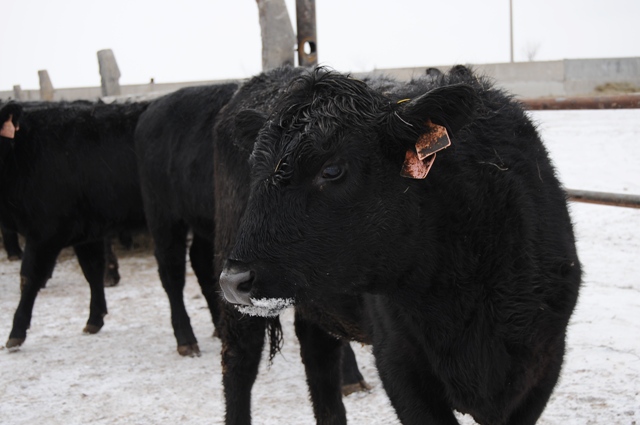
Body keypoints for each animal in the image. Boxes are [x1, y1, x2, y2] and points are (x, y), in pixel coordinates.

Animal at [0, 99, 148, 348]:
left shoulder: (45, 232)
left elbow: (28, 277)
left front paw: (16, 332)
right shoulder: (87, 232)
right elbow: (92, 270)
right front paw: (94, 319)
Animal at [219, 67, 580, 424]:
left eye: (331, 169)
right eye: (256, 171)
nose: (235, 280)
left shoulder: (543, 361)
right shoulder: (398, 361)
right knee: (239, 363)